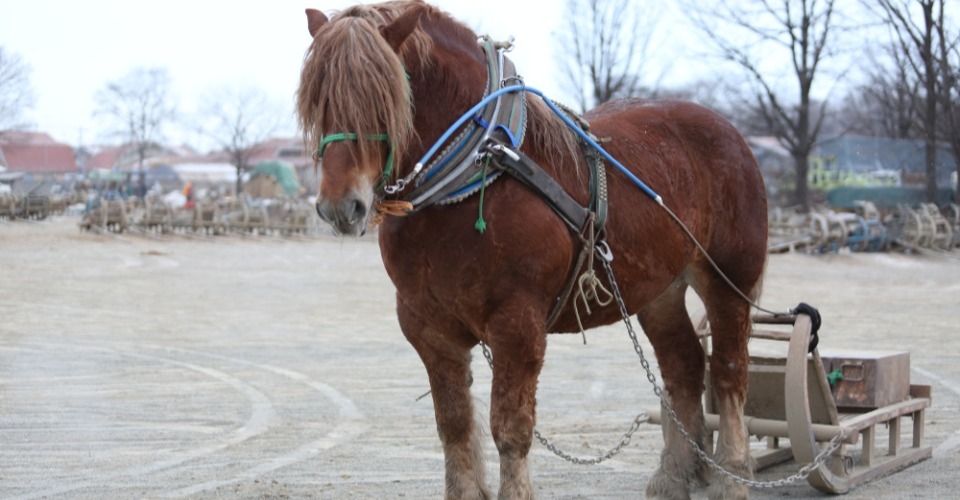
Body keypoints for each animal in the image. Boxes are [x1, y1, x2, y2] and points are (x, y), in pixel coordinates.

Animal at [296, 1, 768, 498]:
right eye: (317, 100)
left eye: (383, 97)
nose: (340, 206)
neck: (478, 171)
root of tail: (729, 130)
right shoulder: (428, 327)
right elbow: (454, 425)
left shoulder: (517, 323)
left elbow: (510, 428)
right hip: (661, 289)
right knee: (684, 367)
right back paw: (674, 474)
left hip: (727, 278)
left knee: (729, 369)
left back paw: (732, 473)